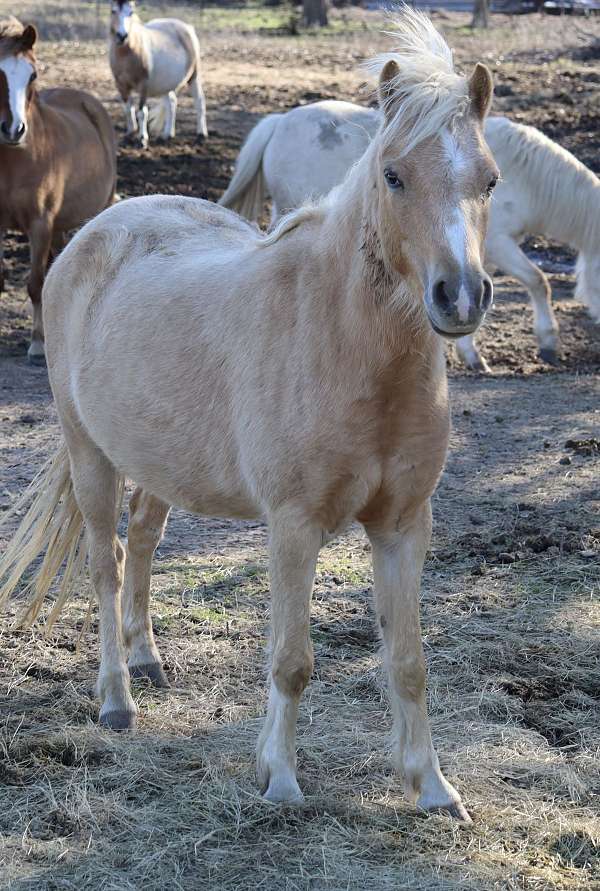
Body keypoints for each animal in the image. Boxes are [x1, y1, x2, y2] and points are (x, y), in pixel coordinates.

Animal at [0, 14, 118, 362]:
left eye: (32, 74)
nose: (13, 129)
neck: (16, 158)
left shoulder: (40, 224)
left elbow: (35, 282)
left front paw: (38, 343)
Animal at [108, 0, 209, 146]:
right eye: (113, 11)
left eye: (131, 12)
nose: (122, 36)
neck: (128, 53)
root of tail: (187, 28)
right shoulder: (121, 85)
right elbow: (128, 109)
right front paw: (129, 134)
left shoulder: (143, 85)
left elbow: (142, 112)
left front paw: (142, 139)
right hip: (165, 84)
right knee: (171, 102)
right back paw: (167, 135)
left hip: (193, 77)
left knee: (199, 101)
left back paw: (201, 134)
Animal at [220, 103, 600, 370]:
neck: (524, 176)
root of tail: (279, 121)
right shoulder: (500, 245)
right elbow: (538, 281)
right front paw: (547, 342)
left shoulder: (474, 258)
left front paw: (470, 353)